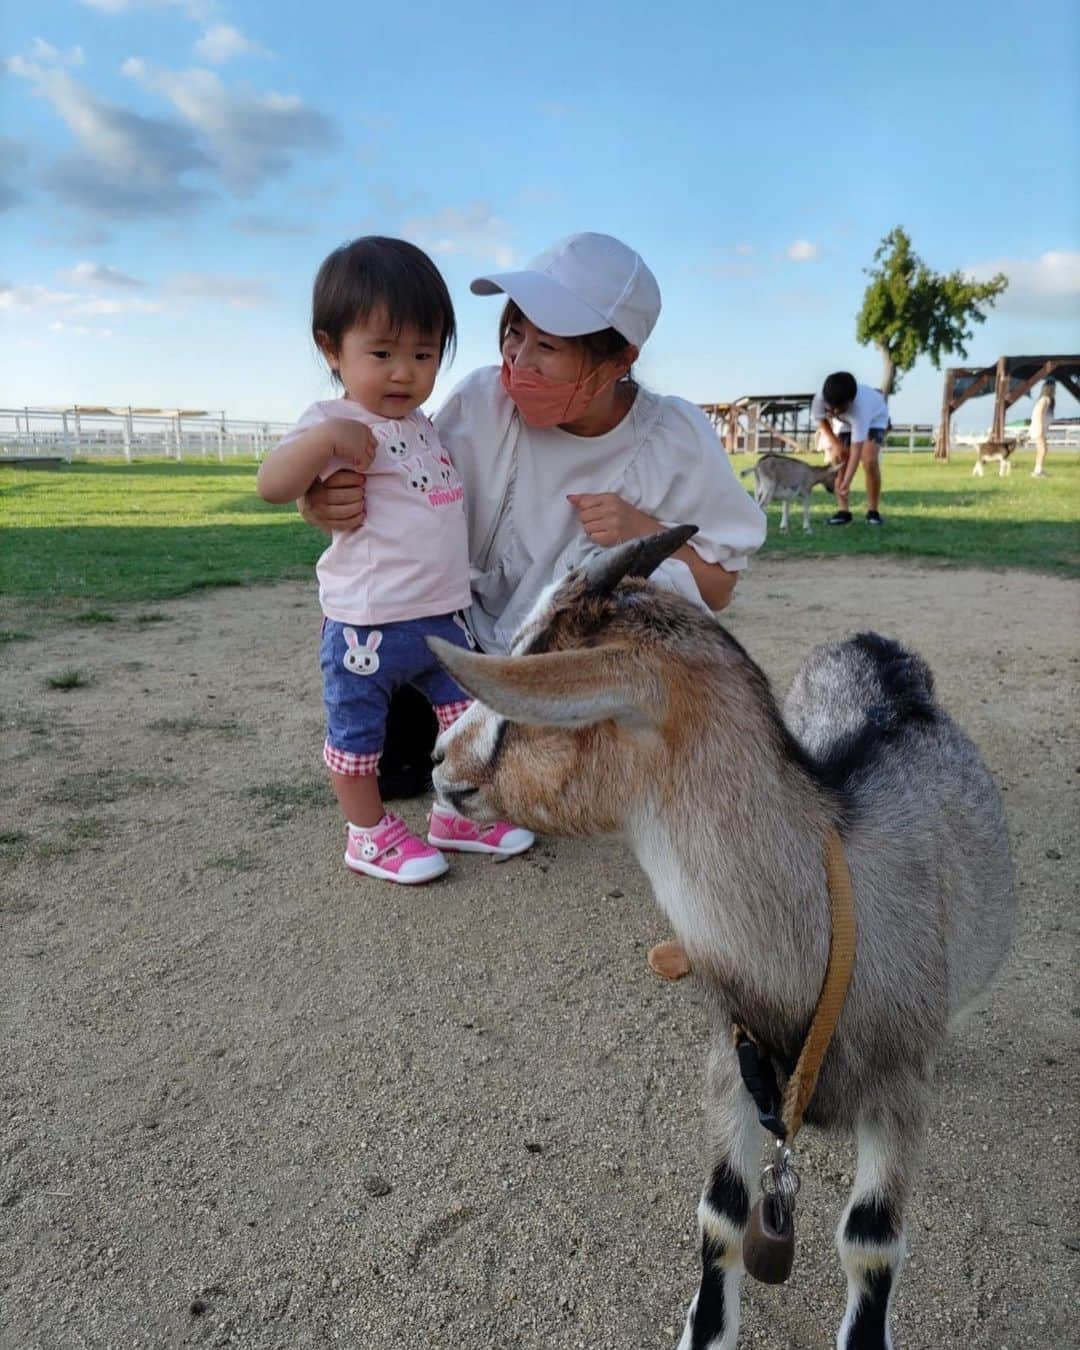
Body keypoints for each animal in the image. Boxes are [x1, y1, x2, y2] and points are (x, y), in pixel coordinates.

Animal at [429, 526, 1015, 1350]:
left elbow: (870, 1239)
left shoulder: (896, 1090)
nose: (438, 761)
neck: (826, 915)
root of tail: (878, 648)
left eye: (534, 692)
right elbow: (721, 1214)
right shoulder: (732, 1063)